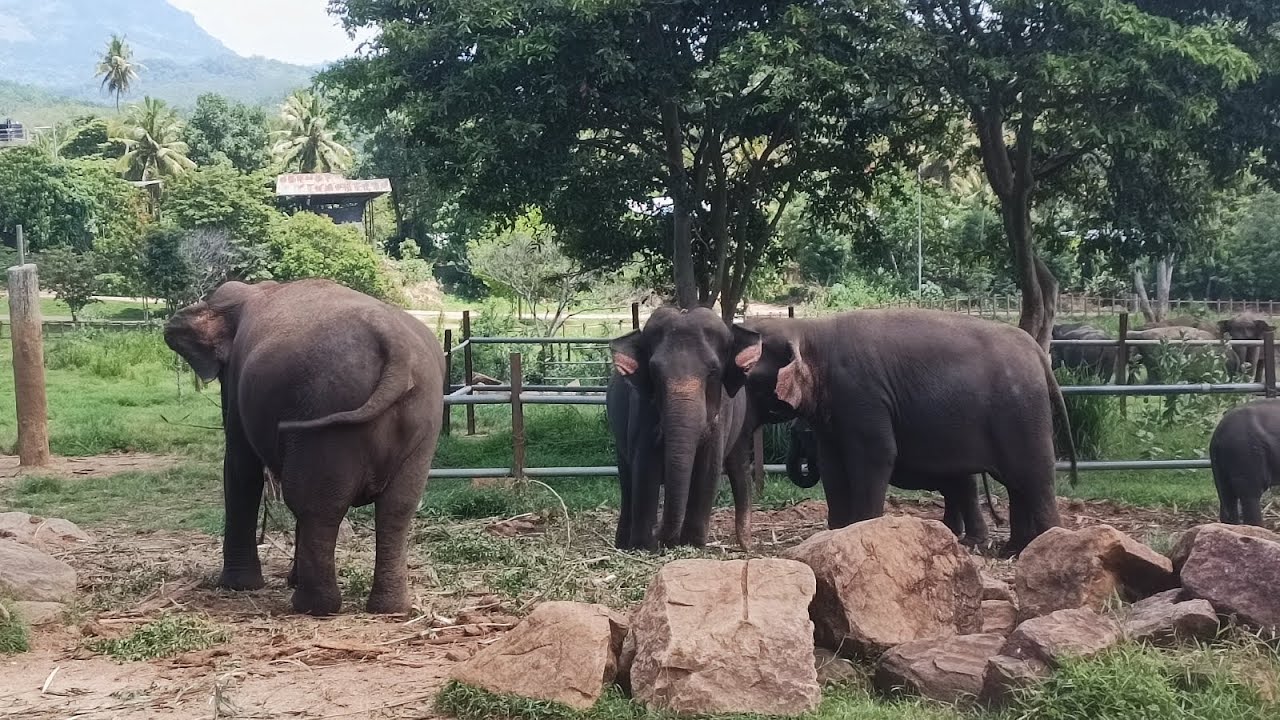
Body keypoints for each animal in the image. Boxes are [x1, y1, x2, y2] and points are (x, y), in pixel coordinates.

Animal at [163, 279, 445, 616]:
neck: (255, 290)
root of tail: (394, 344)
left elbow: (240, 467)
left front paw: (238, 586)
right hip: (423, 419)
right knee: (397, 507)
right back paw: (389, 608)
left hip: (325, 414)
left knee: (315, 504)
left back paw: (312, 606)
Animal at [606, 307, 756, 551]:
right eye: (654, 372)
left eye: (713, 371)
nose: (660, 535)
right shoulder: (642, 409)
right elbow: (645, 466)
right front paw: (643, 546)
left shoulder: (722, 413)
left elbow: (708, 467)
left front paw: (691, 544)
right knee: (626, 480)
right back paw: (623, 545)